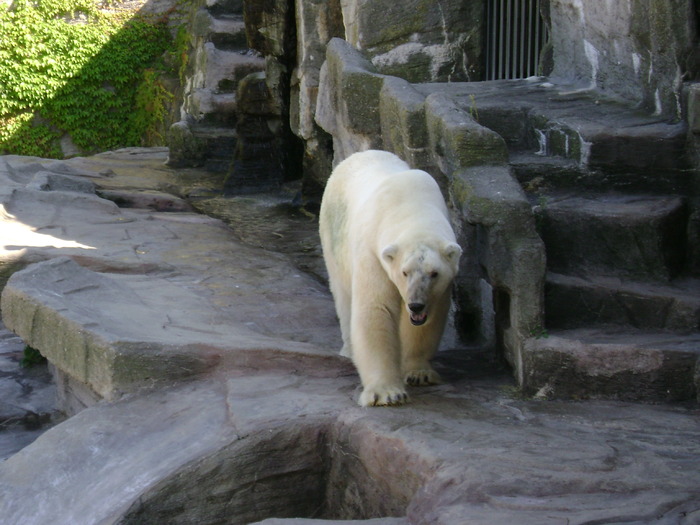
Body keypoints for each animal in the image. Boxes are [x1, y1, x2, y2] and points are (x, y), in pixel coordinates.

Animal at [320, 149, 462, 408]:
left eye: (434, 273)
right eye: (404, 272)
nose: (415, 305)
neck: (411, 206)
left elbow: (429, 318)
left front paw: (419, 373)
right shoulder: (373, 253)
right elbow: (376, 309)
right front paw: (386, 393)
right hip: (333, 235)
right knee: (343, 295)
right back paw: (349, 350)